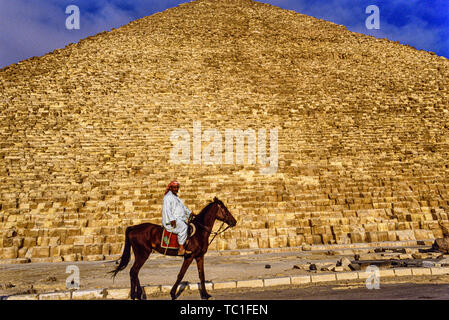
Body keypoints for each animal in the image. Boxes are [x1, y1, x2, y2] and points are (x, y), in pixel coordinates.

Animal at [108, 195, 236, 300]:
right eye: (224, 209)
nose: (234, 221)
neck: (200, 231)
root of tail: (133, 227)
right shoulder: (189, 256)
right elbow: (181, 274)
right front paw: (173, 293)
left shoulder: (199, 256)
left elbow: (202, 275)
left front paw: (205, 294)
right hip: (143, 253)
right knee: (134, 271)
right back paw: (135, 295)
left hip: (141, 254)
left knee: (135, 272)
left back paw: (138, 294)